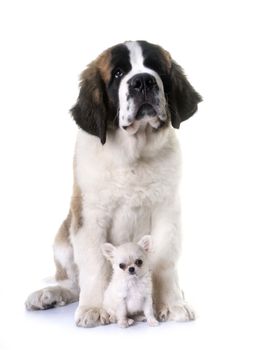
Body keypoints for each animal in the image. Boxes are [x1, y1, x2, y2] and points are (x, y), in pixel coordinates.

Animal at [25, 41, 201, 328]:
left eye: (156, 68)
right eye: (118, 73)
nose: (143, 81)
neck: (133, 155)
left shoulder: (166, 212)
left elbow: (164, 261)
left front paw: (172, 303)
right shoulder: (89, 216)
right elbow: (95, 265)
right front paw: (94, 309)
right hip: (63, 238)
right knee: (73, 282)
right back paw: (49, 294)